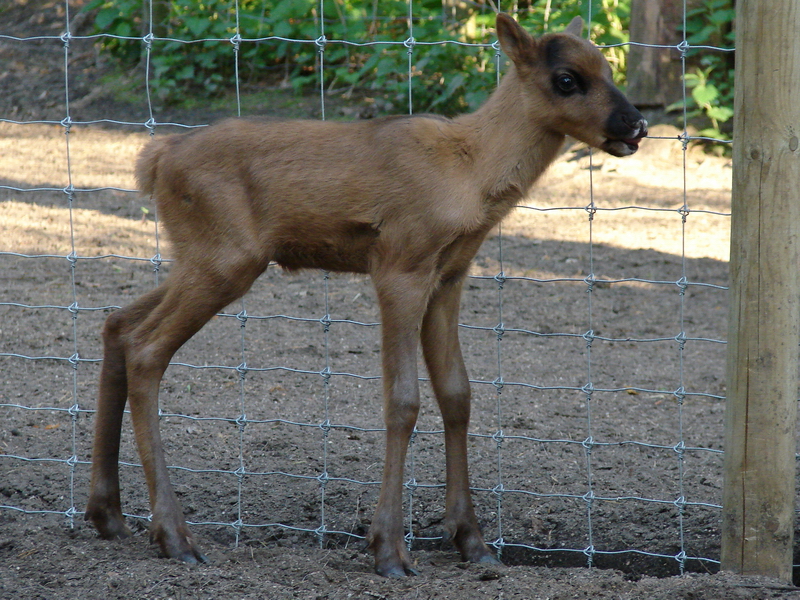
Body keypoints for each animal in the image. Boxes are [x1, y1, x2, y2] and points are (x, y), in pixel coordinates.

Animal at [84, 13, 647, 577]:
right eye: (567, 79)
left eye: (608, 66)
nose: (636, 125)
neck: (472, 177)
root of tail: (154, 161)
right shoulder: (401, 265)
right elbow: (403, 400)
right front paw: (389, 549)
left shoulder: (449, 275)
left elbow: (457, 394)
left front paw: (472, 539)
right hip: (225, 258)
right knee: (147, 349)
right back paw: (173, 535)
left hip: (202, 258)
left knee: (118, 323)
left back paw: (107, 514)